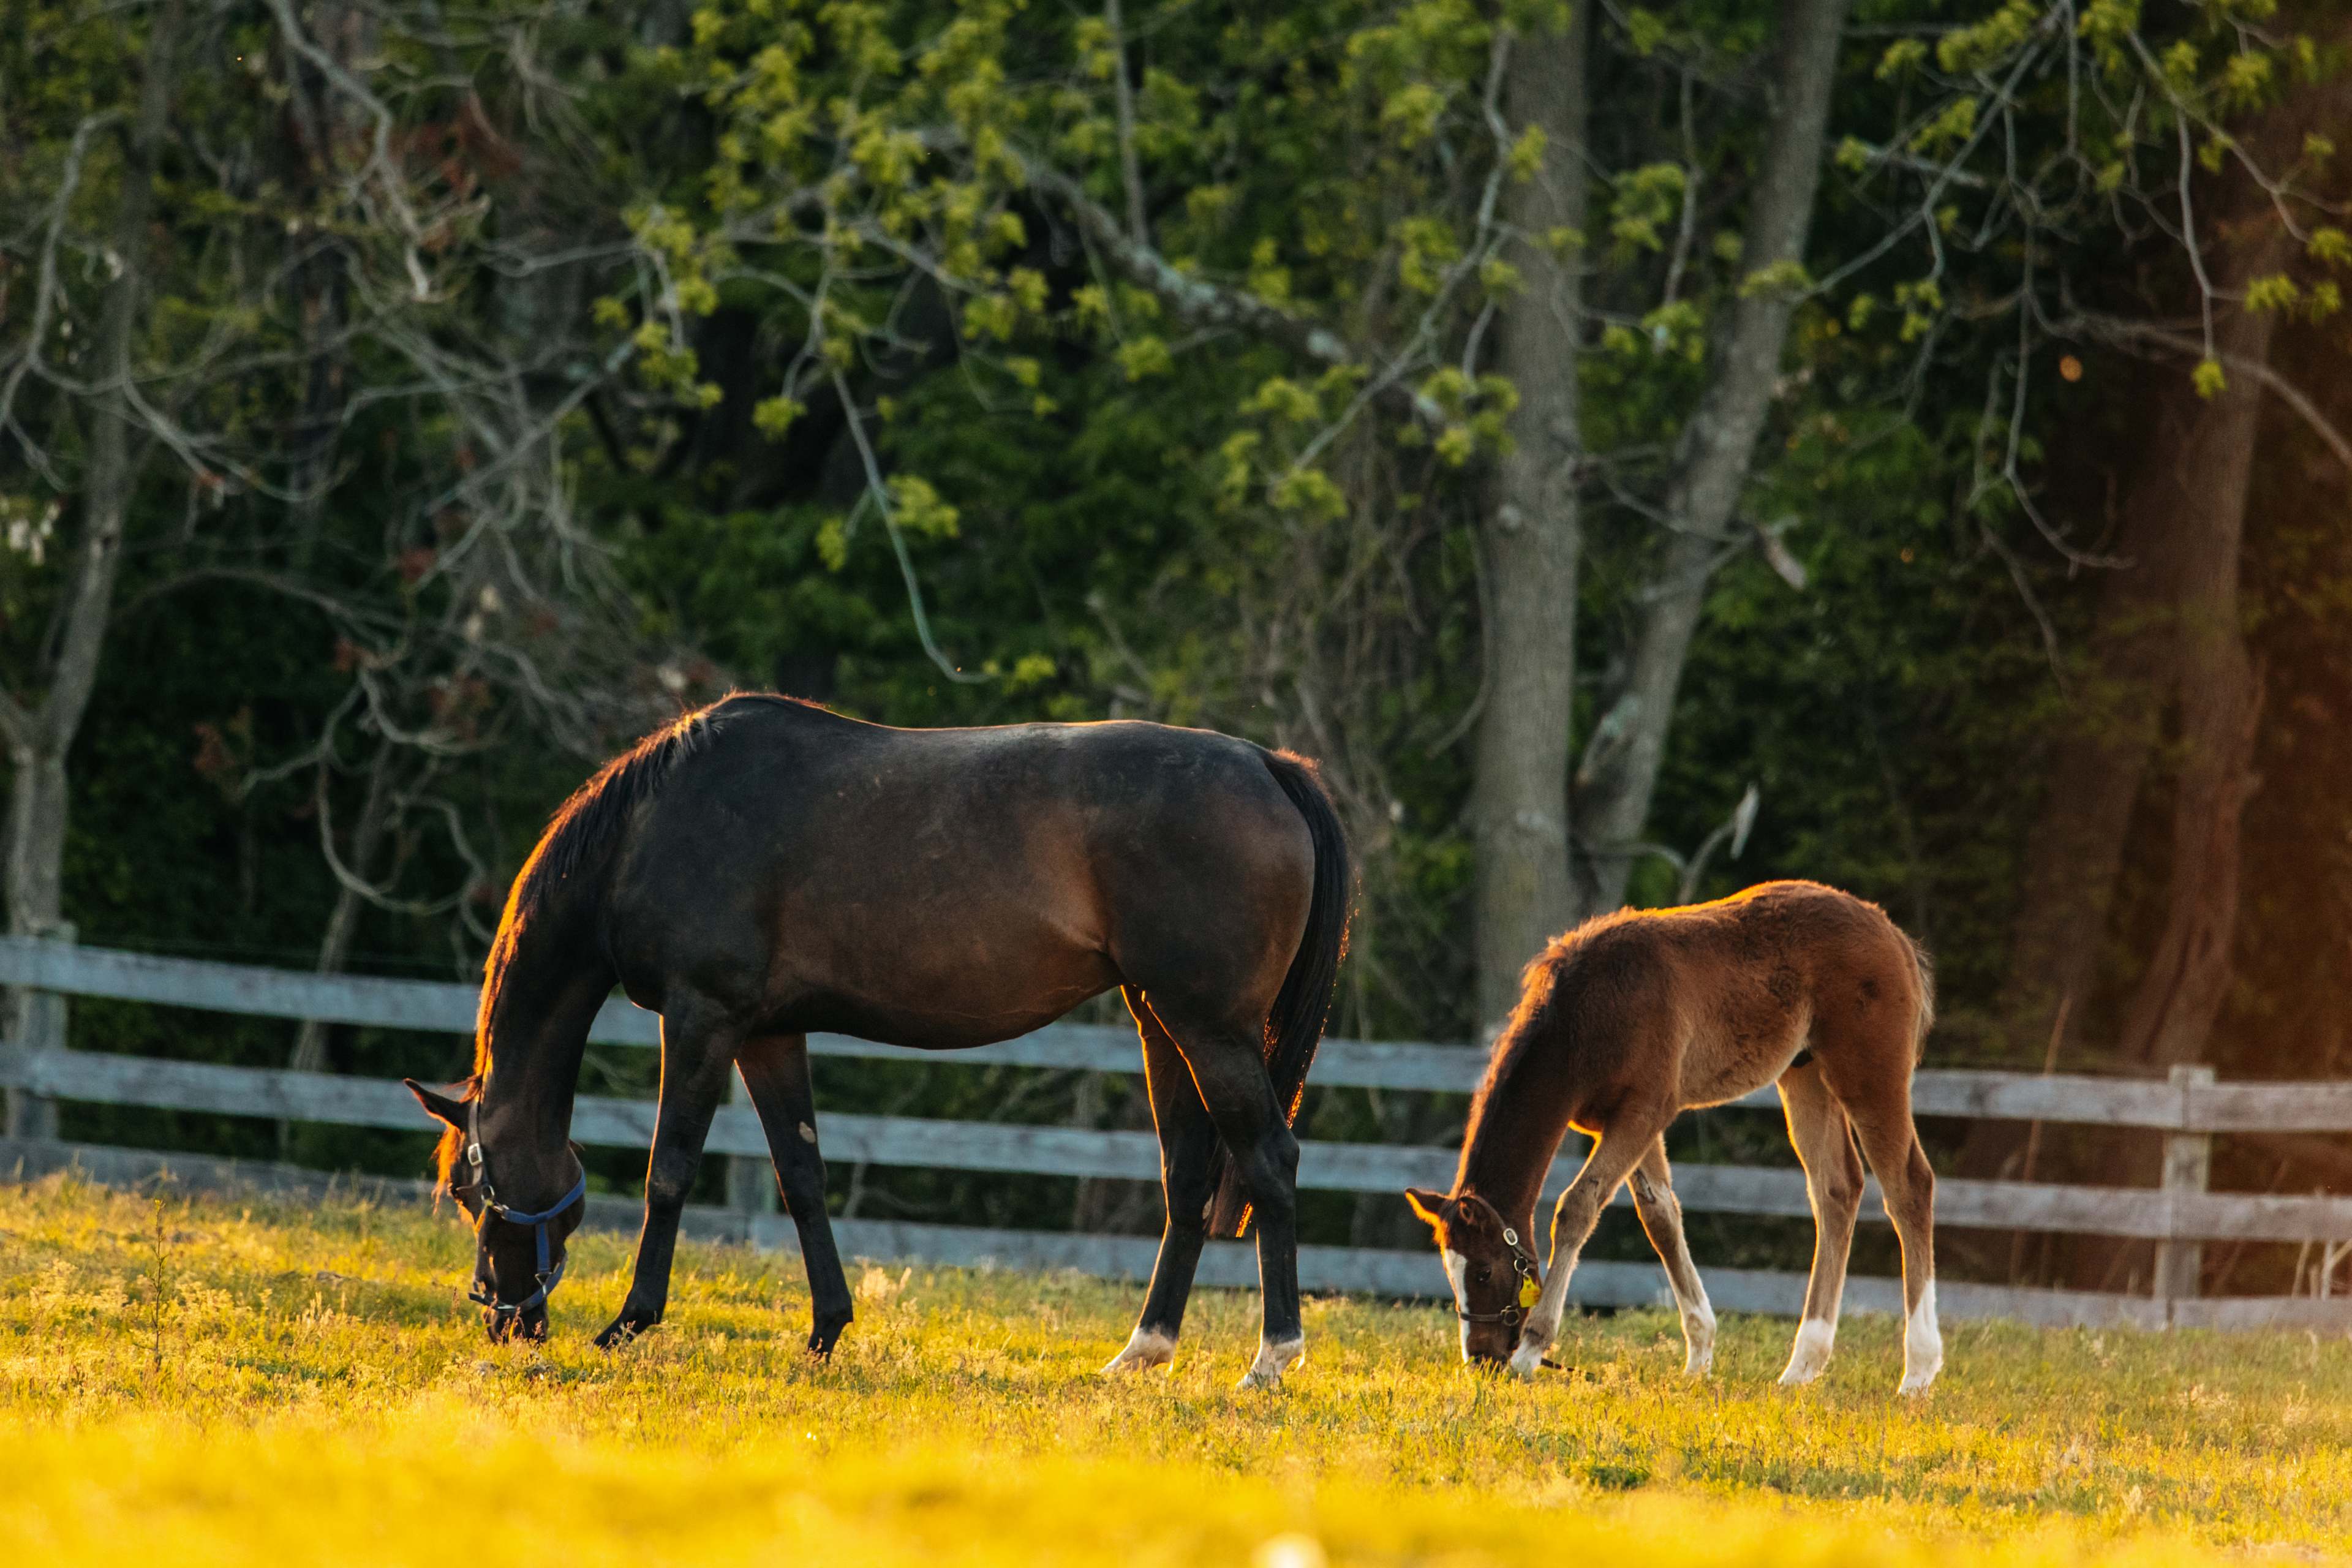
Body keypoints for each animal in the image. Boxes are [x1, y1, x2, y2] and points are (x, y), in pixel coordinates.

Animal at [401, 692, 1351, 1390]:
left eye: (471, 1192)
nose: (506, 1322)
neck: (653, 827)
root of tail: (1268, 766)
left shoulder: (702, 1016)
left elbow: (668, 1171)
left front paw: (629, 1323)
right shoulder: (770, 1034)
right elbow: (803, 1178)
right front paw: (825, 1332)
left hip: (1211, 1029)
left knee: (1269, 1161)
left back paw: (1271, 1361)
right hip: (1164, 1023)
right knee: (1188, 1175)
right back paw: (1142, 1352)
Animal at [1404, 880, 1942, 1395]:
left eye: (1483, 1271)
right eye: (1450, 1273)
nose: (1482, 1359)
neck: (1584, 1014)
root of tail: (1893, 934)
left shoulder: (1644, 1110)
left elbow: (1578, 1207)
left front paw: (1532, 1350)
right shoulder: (1628, 1122)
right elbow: (1660, 1216)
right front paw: (1700, 1357)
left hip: (1868, 1073)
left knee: (1908, 1186)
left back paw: (1917, 1370)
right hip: (1804, 1074)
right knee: (1836, 1189)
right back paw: (1802, 1366)